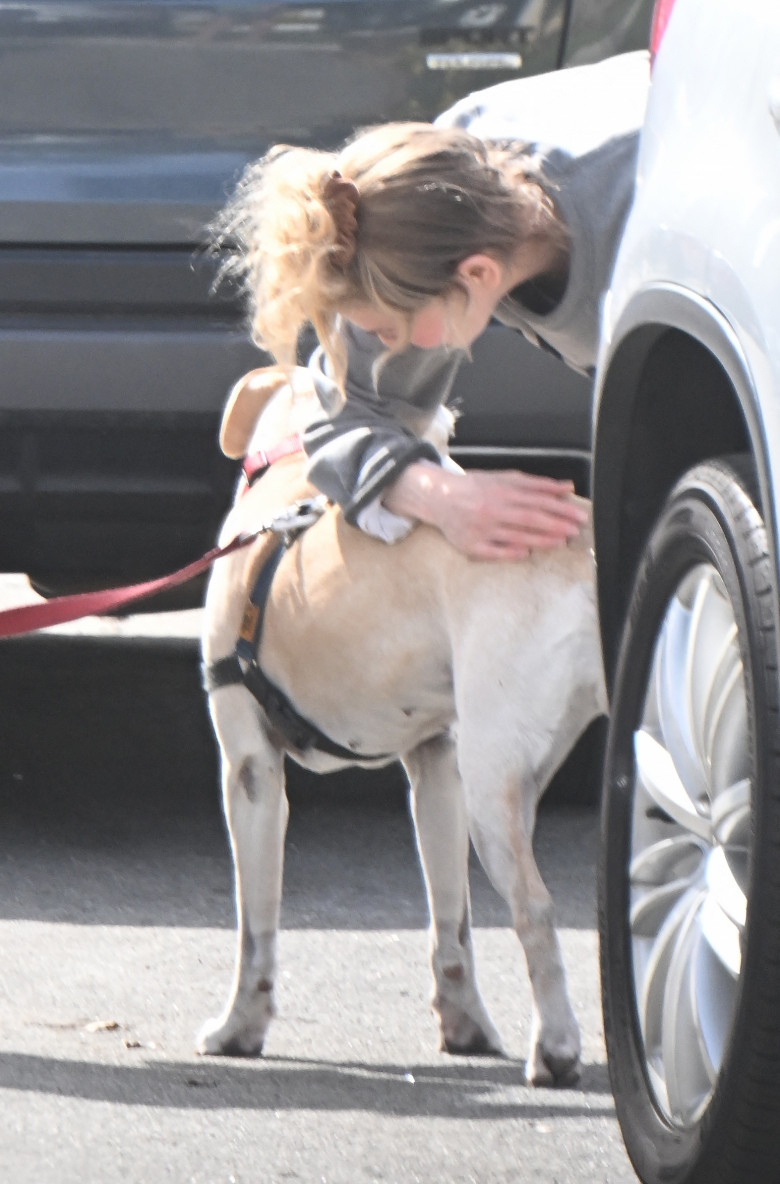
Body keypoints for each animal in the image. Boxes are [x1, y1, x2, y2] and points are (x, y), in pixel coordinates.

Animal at [196, 364, 610, 1084]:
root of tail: (581, 547)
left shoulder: (250, 770)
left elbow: (256, 926)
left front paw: (240, 1027)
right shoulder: (436, 769)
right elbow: (452, 921)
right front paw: (464, 1024)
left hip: (490, 787)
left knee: (536, 909)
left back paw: (556, 1048)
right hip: (509, 779)